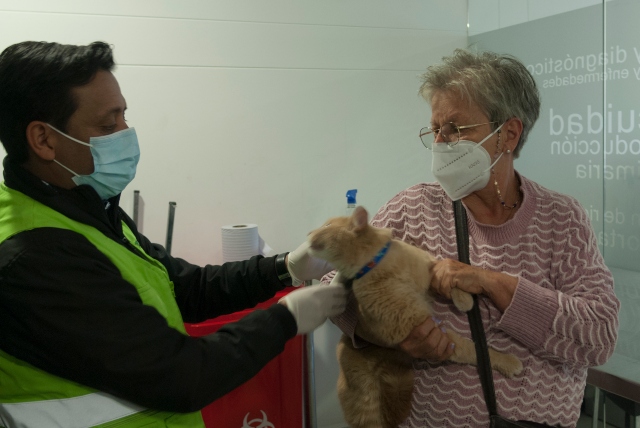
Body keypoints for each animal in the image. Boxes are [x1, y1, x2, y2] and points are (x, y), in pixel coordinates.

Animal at [308, 206, 524, 426]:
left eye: (327, 225)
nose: (308, 233)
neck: (379, 263)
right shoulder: (428, 328)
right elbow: (473, 349)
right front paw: (507, 361)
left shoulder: (430, 268)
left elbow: (450, 277)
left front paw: (464, 299)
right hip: (368, 407)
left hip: (400, 385)